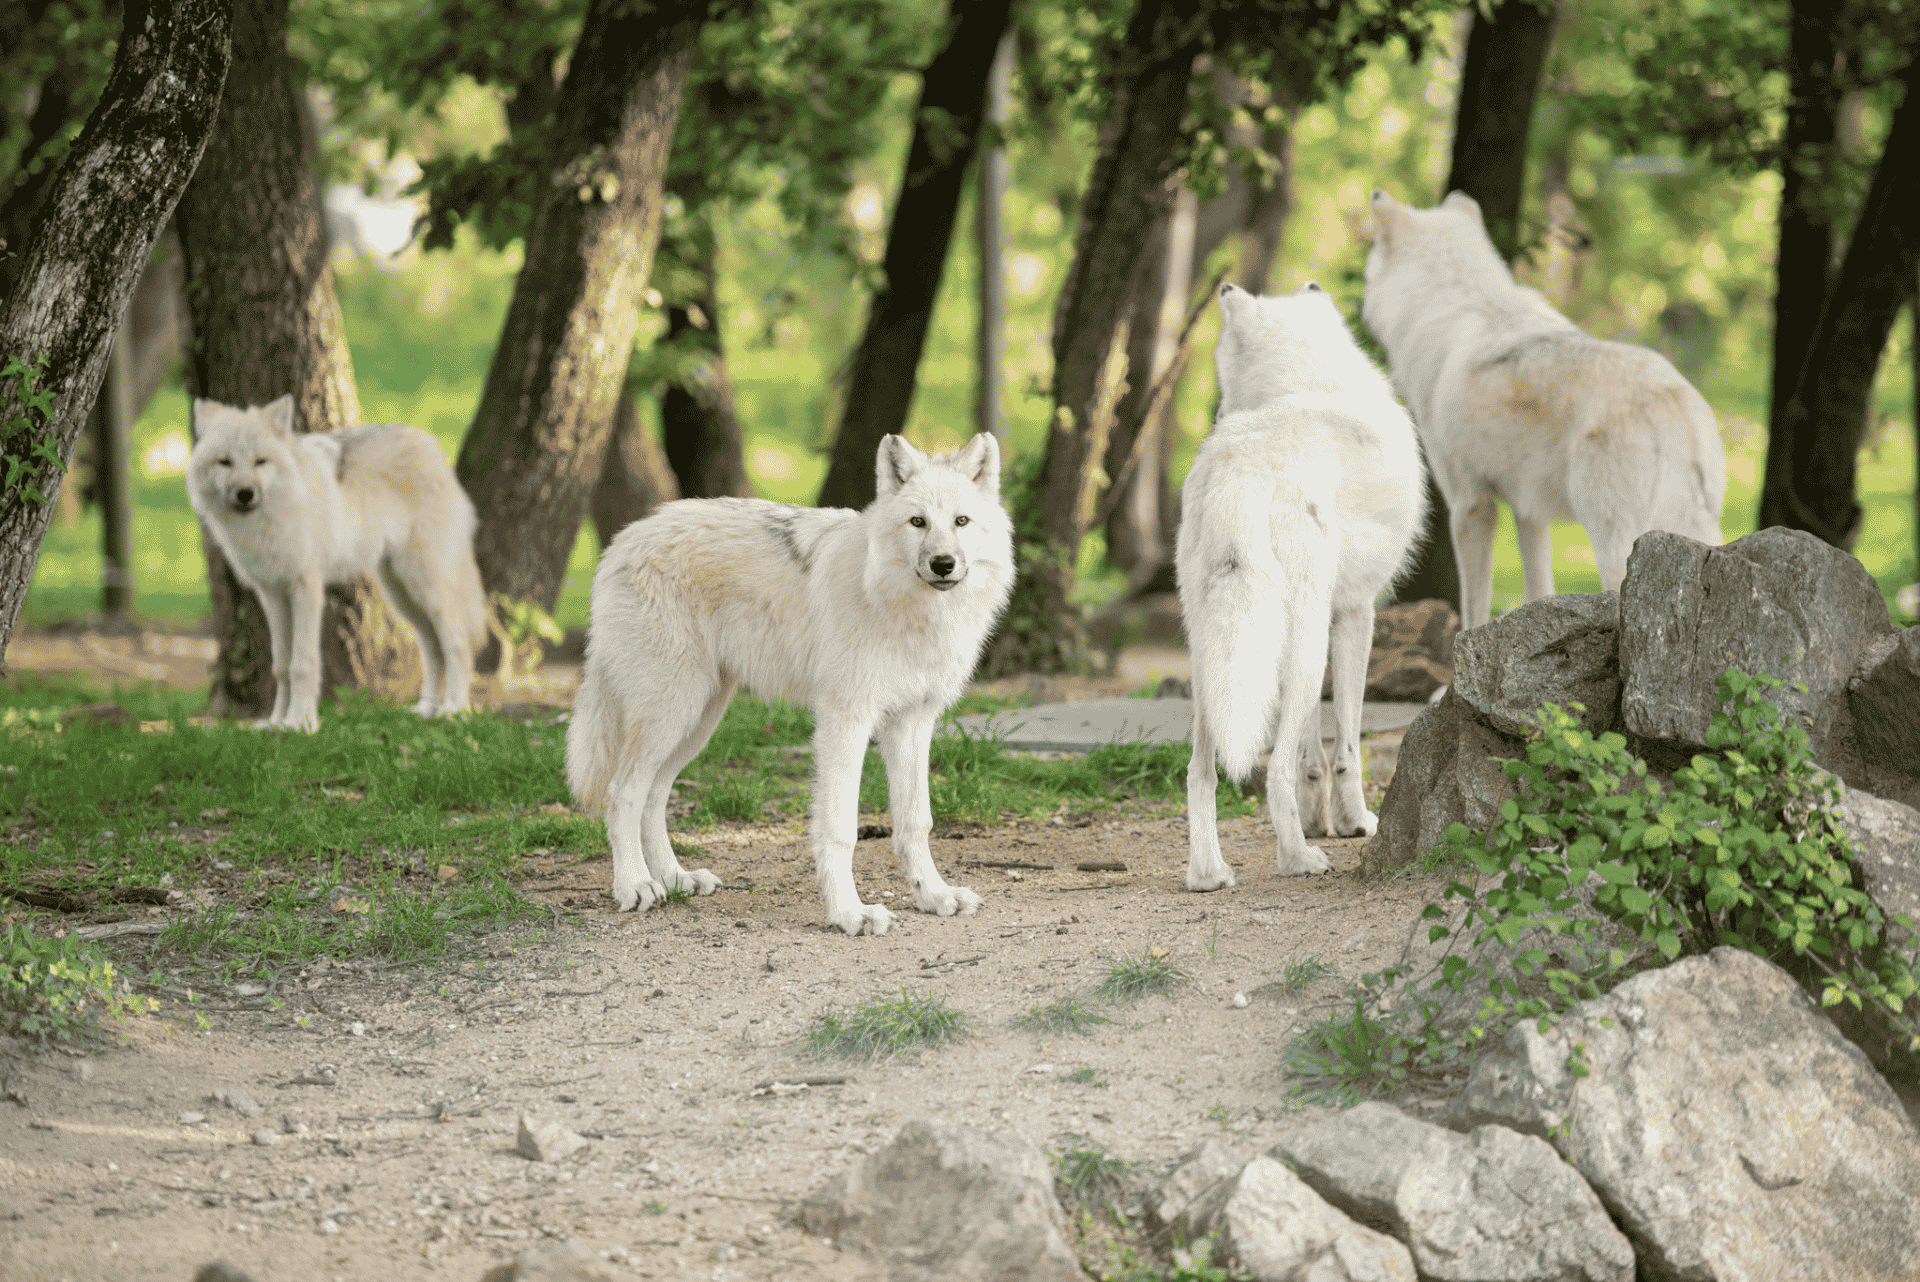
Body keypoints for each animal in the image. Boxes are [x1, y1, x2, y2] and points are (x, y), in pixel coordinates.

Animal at [187, 395, 488, 731]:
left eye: (260, 462)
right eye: (225, 462)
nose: (244, 494)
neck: (268, 520)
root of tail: (433, 445)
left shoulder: (306, 589)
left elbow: (301, 665)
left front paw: (301, 724)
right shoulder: (272, 595)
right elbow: (281, 665)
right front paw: (277, 722)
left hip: (425, 587)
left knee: (458, 644)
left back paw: (455, 711)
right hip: (402, 596)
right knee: (433, 649)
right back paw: (426, 710)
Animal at [566, 434, 1014, 936]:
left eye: (961, 521)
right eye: (918, 522)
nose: (942, 564)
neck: (907, 608)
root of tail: (623, 540)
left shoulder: (912, 724)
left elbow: (916, 821)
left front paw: (934, 895)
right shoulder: (846, 721)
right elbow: (840, 830)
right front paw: (850, 914)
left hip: (697, 722)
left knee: (653, 796)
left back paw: (677, 879)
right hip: (671, 712)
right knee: (621, 793)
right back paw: (635, 886)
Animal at [1179, 282, 1426, 891]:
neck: (1303, 380)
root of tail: (1242, 473)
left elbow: (1311, 755)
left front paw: (1321, 820)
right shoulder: (1357, 614)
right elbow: (1346, 747)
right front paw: (1354, 823)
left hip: (1212, 660)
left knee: (1201, 775)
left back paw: (1209, 874)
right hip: (1305, 651)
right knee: (1271, 775)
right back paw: (1298, 859)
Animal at [1364, 190, 1726, 628]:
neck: (1458, 296)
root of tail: (1672, 402)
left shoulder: (1470, 506)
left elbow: (1473, 609)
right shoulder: (1530, 512)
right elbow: (1539, 591)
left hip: (1615, 542)